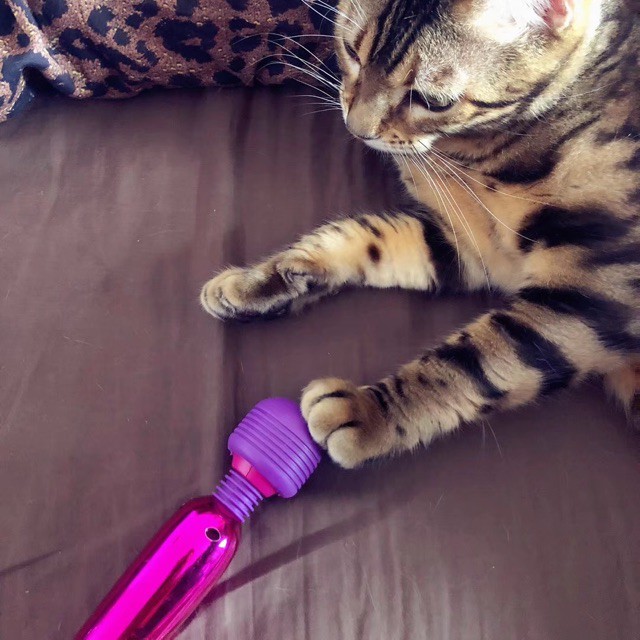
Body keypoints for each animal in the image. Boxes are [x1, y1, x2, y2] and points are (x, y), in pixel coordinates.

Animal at [200, 0, 640, 468]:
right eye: (351, 52)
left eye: (431, 101)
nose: (356, 129)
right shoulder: (468, 246)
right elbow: (361, 237)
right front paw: (263, 281)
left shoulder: (599, 291)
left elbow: (477, 365)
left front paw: (369, 413)